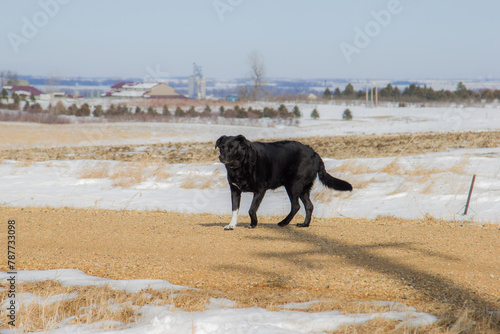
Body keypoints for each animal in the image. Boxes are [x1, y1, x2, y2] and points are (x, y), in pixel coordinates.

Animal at [215, 134, 352, 228]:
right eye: (222, 147)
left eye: (232, 147)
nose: (220, 157)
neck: (241, 165)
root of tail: (315, 154)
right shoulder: (235, 190)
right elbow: (234, 209)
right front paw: (231, 225)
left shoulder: (260, 190)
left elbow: (251, 209)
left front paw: (253, 224)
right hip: (303, 188)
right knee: (309, 206)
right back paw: (304, 224)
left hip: (293, 185)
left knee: (296, 206)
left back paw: (283, 222)